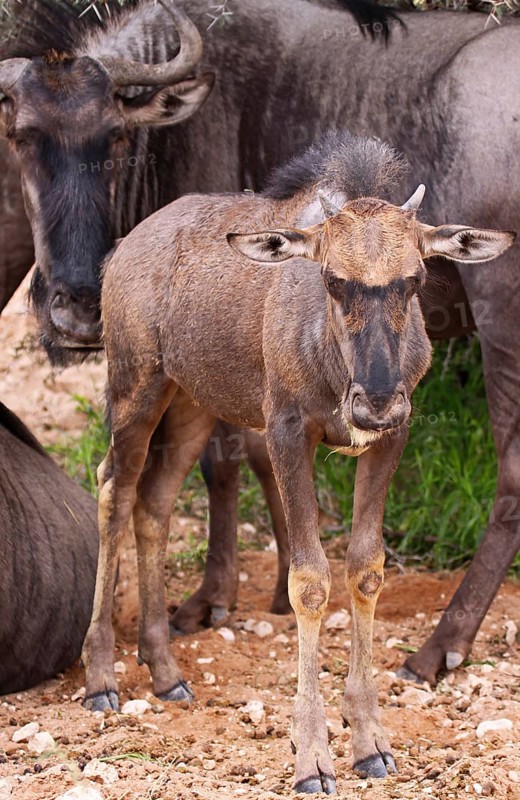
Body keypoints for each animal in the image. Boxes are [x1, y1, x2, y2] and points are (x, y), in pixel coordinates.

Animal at [83, 132, 514, 792]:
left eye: (415, 278)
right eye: (334, 280)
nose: (376, 399)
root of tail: (122, 251)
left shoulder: (390, 439)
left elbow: (366, 567)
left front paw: (370, 742)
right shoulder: (288, 431)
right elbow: (308, 580)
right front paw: (312, 756)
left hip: (192, 404)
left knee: (154, 503)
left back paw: (164, 669)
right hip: (135, 386)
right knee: (113, 488)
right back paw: (101, 676)